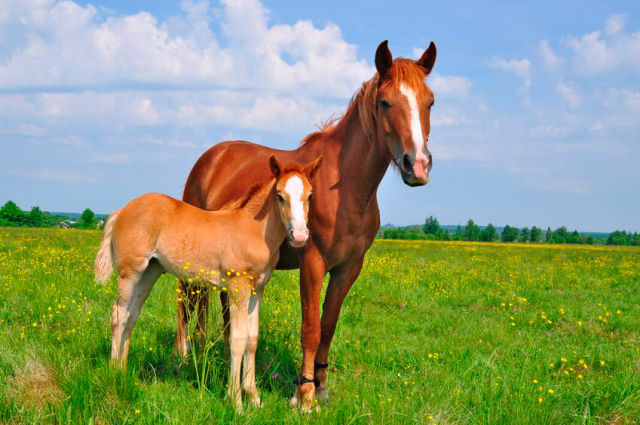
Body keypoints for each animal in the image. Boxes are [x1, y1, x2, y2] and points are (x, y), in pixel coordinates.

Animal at [92, 155, 322, 408]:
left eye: (310, 195)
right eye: (280, 195)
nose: (299, 235)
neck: (254, 229)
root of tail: (121, 210)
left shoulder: (257, 290)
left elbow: (252, 340)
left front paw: (254, 398)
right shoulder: (238, 288)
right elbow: (237, 339)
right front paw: (236, 402)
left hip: (149, 273)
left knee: (132, 315)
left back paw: (123, 370)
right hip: (130, 271)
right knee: (119, 314)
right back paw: (114, 374)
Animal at [176, 39, 436, 410]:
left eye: (429, 101)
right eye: (386, 102)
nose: (418, 165)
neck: (343, 188)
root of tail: (210, 158)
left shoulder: (348, 268)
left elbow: (328, 325)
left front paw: (321, 387)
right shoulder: (312, 263)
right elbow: (310, 328)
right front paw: (304, 395)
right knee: (187, 300)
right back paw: (186, 355)